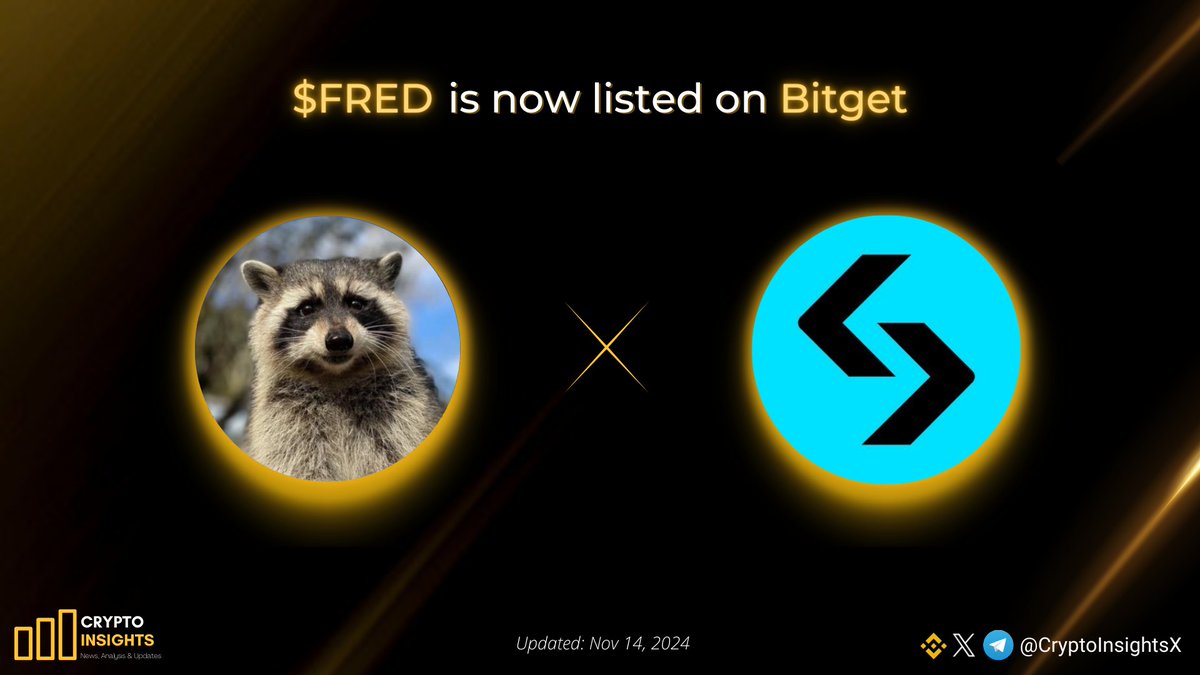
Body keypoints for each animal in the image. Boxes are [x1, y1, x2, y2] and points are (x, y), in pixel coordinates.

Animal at [240, 252, 443, 481]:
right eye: (307, 308)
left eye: (356, 303)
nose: (339, 340)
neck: (336, 376)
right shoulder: (283, 421)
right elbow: (297, 464)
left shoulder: (405, 409)